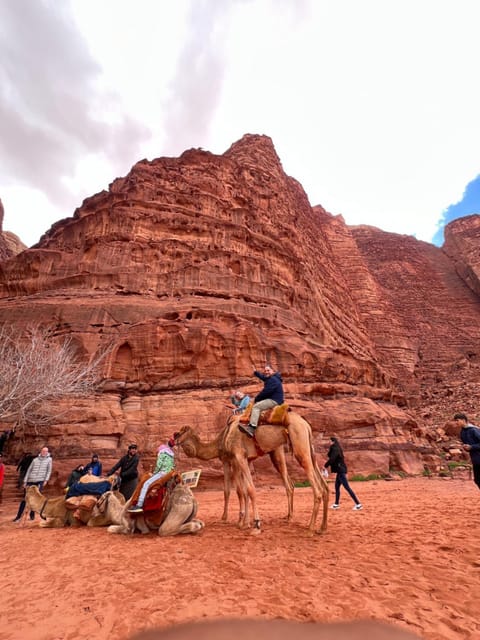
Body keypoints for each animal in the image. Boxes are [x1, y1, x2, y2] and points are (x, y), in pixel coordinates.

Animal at [174, 410, 328, 536]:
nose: (172, 441)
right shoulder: (244, 460)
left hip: (297, 445)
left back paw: (310, 529)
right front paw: (244, 522)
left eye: (178, 433)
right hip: (304, 448)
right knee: (315, 485)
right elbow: (243, 491)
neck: (222, 439)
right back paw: (316, 526)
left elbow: (238, 490)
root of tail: (306, 424)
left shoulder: (234, 458)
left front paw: (244, 522)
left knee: (315, 489)